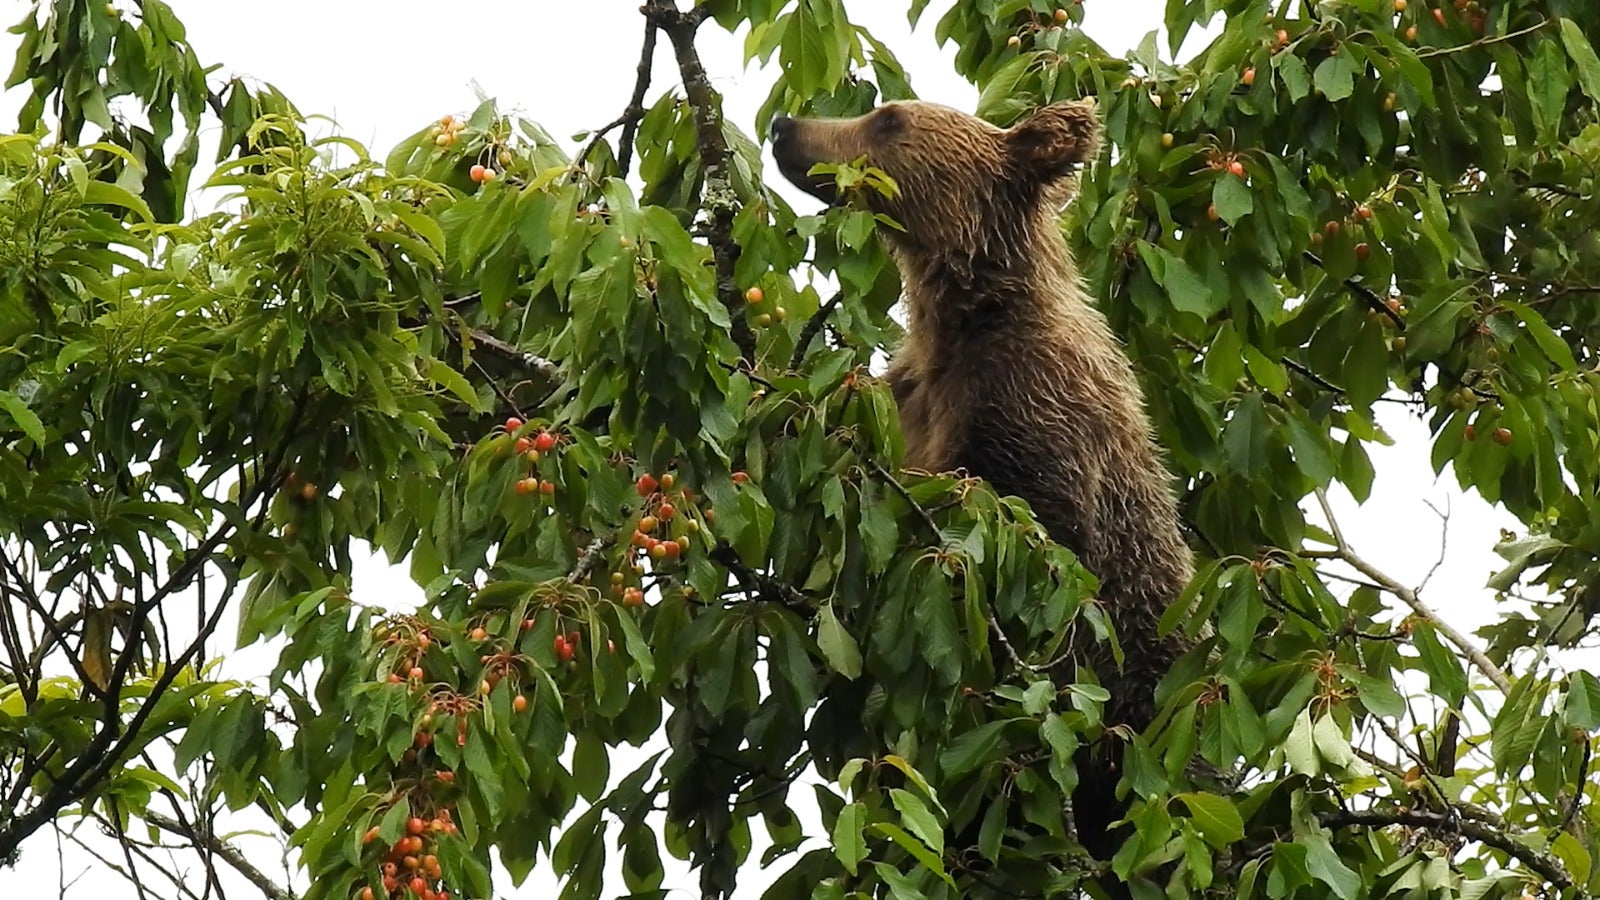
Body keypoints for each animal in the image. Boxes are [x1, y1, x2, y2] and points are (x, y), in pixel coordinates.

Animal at [770, 100, 1195, 880]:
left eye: (888, 118)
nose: (788, 126)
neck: (967, 315)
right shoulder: (909, 400)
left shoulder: (1029, 411)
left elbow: (1034, 538)